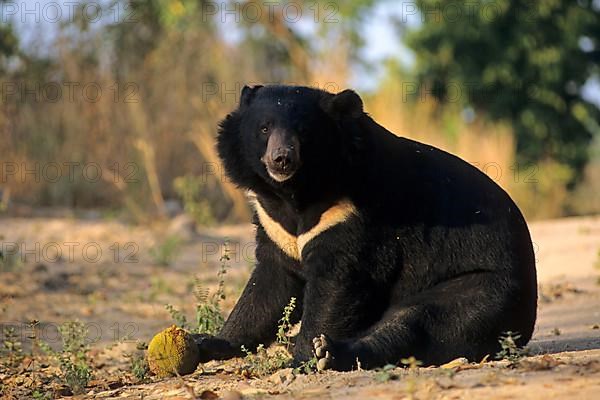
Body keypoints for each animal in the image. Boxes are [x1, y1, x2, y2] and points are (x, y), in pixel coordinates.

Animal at [198, 85, 540, 372]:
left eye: (304, 131)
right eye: (264, 128)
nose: (281, 159)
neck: (295, 192)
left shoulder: (353, 213)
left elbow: (338, 282)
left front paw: (303, 357)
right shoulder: (274, 224)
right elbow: (270, 285)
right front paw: (211, 342)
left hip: (485, 287)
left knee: (419, 321)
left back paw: (331, 353)